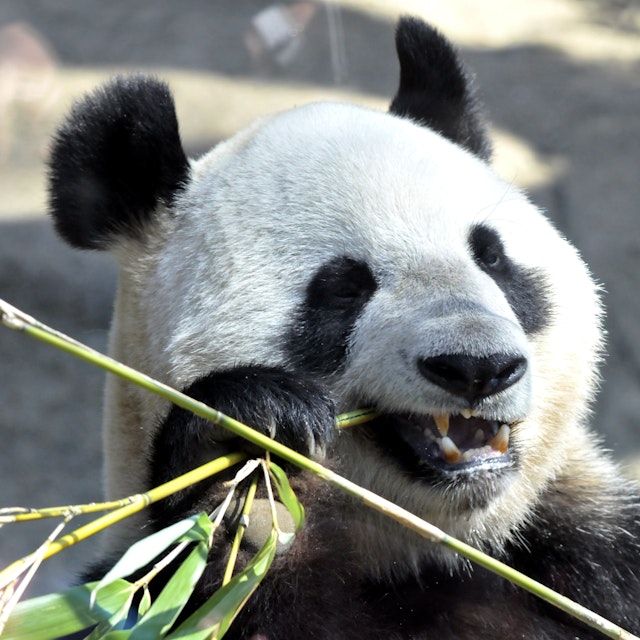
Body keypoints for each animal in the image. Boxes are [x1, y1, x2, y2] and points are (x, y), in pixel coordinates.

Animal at [48, 16, 640, 640]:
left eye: (493, 257)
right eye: (343, 287)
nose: (477, 367)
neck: (425, 550)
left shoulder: (587, 544)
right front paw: (244, 448)